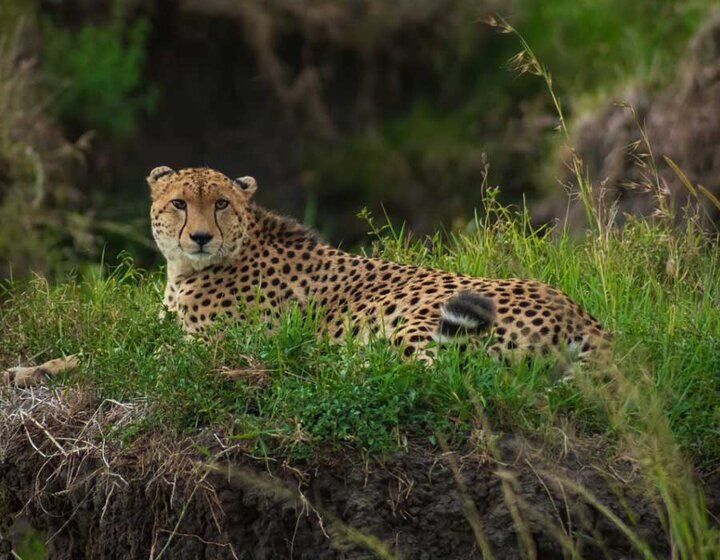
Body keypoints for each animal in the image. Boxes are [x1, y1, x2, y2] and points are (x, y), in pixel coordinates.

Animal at [146, 164, 612, 366]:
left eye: (221, 204)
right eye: (179, 203)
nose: (201, 237)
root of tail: (582, 315)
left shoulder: (226, 341)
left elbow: (165, 352)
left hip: (416, 321)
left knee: (436, 373)